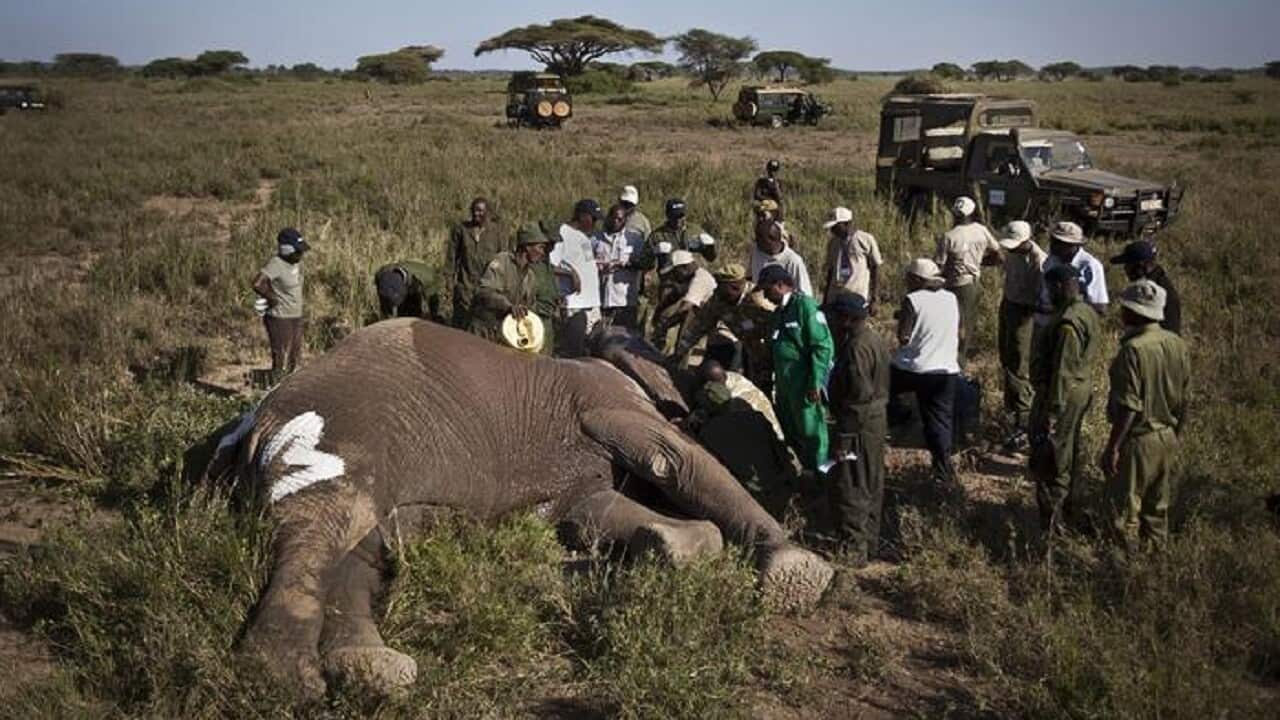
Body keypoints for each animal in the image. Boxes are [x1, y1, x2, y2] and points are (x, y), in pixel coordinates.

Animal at [204, 318, 832, 697]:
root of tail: (250, 425)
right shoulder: (606, 396)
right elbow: (673, 457)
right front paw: (797, 574)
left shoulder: (581, 473)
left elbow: (592, 510)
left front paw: (662, 547)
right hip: (336, 434)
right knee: (322, 526)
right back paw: (279, 679)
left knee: (366, 545)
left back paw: (371, 668)